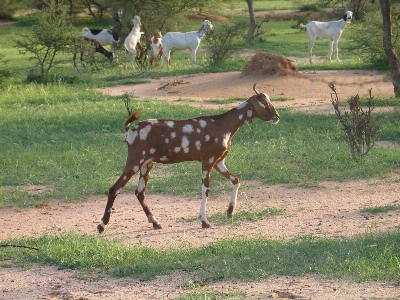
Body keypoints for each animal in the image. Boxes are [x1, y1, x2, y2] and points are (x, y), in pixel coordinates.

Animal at [97, 83, 280, 233]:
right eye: (264, 104)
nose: (277, 117)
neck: (222, 125)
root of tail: (131, 132)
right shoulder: (208, 161)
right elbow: (206, 189)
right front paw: (205, 221)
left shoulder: (219, 162)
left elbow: (236, 180)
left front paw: (229, 212)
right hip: (135, 161)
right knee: (115, 188)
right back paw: (102, 225)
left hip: (147, 164)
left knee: (140, 192)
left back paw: (155, 222)